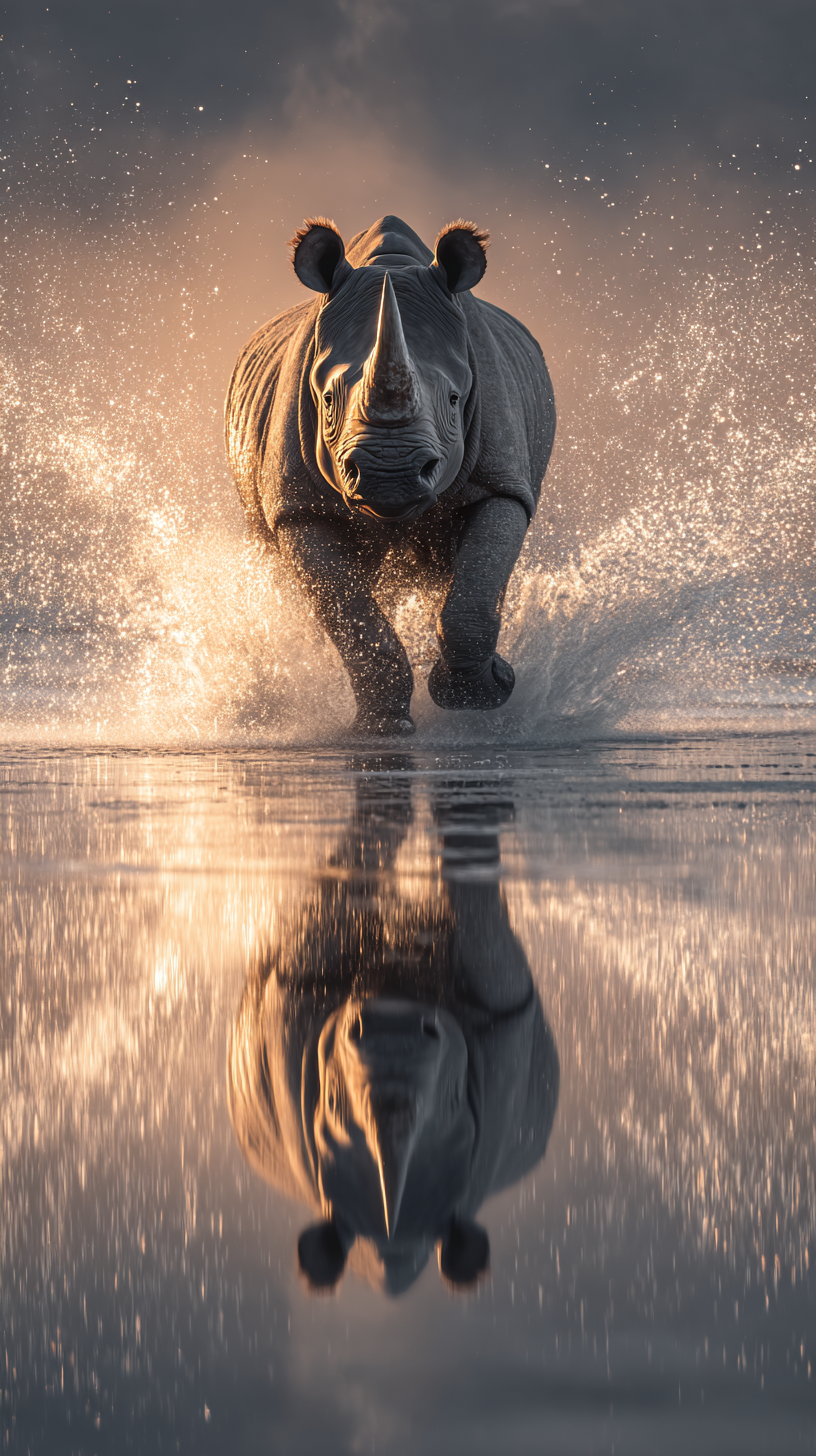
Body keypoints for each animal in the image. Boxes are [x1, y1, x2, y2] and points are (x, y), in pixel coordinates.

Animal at [226, 214, 556, 734]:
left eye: (455, 399)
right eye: (326, 400)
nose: (390, 474)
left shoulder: (502, 484)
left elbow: (476, 590)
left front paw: (479, 696)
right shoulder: (297, 508)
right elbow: (350, 613)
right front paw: (381, 728)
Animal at [227, 775, 559, 1296]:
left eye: (454, 1100)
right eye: (331, 1100)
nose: (390, 1025)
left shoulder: (504, 1015)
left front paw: (470, 803)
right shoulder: (295, 996)